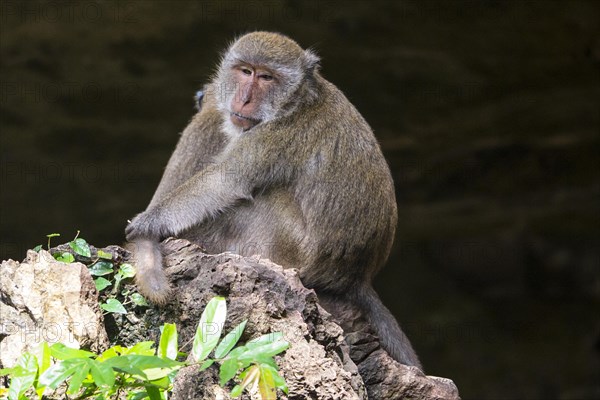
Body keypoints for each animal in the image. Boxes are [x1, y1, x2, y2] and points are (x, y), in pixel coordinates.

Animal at [124, 32, 420, 368]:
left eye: (266, 77)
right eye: (245, 71)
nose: (244, 99)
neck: (297, 102)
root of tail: (356, 278)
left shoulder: (278, 134)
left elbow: (225, 181)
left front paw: (148, 223)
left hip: (290, 249)